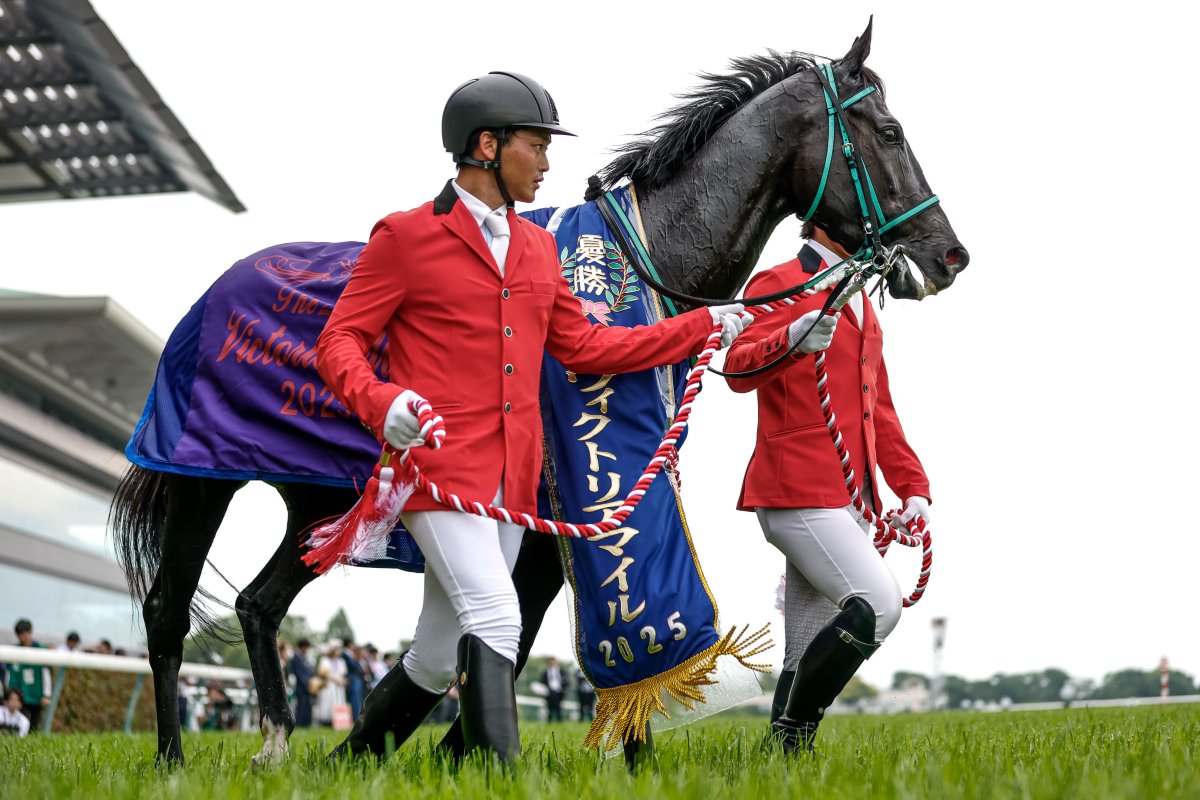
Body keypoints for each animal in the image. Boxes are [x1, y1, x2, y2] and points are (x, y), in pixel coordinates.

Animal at [110, 20, 969, 766]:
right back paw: (173, 758)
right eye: (890, 130)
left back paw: (280, 744)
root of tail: (218, 291)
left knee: (258, 603)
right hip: (203, 484)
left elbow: (515, 643)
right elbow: (512, 639)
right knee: (165, 611)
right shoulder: (555, 512)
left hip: (317, 506)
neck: (647, 250)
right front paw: (480, 755)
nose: (950, 254)